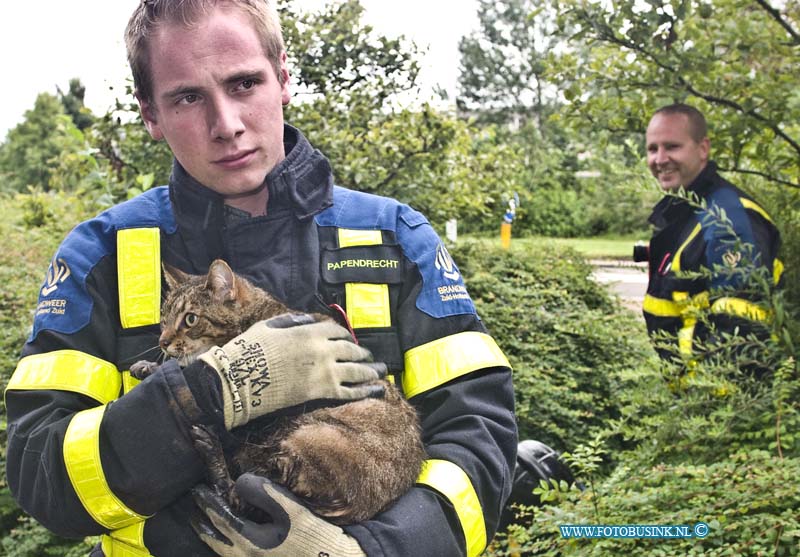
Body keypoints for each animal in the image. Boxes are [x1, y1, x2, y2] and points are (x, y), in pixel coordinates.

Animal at [133, 258, 424, 524]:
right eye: (164, 320)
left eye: (190, 319)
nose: (163, 341)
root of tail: (362, 508)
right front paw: (150, 366)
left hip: (309, 435)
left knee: (244, 498)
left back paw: (212, 450)